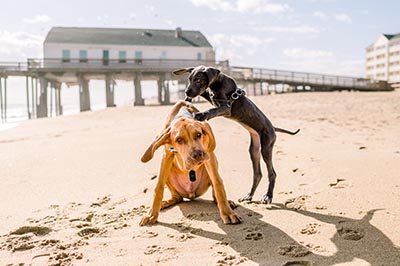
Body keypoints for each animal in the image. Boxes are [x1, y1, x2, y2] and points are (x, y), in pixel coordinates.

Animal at [173, 66, 298, 204]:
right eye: (189, 79)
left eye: (198, 80)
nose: (187, 93)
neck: (217, 84)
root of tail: (273, 128)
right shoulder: (213, 99)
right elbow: (205, 95)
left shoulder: (226, 107)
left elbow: (213, 110)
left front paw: (202, 115)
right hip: (254, 149)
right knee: (257, 174)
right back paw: (249, 195)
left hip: (266, 146)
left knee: (272, 173)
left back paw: (268, 196)